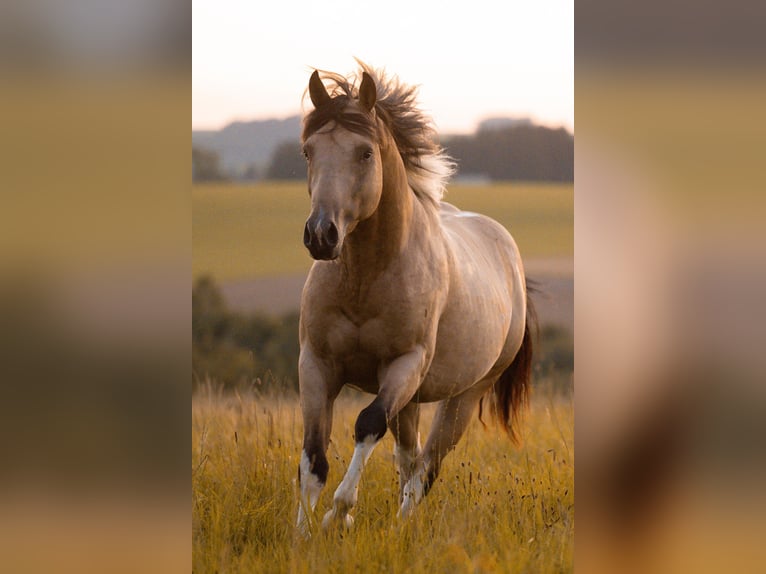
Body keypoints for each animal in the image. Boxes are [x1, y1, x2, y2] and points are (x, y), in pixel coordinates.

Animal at [296, 62, 534, 534]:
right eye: (309, 152)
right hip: (413, 399)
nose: (321, 235)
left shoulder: (403, 365)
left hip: (463, 397)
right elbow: (313, 455)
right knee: (409, 458)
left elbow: (368, 424)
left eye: (365, 153)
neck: (365, 280)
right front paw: (302, 533)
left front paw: (339, 514)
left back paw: (402, 526)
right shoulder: (316, 363)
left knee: (427, 466)